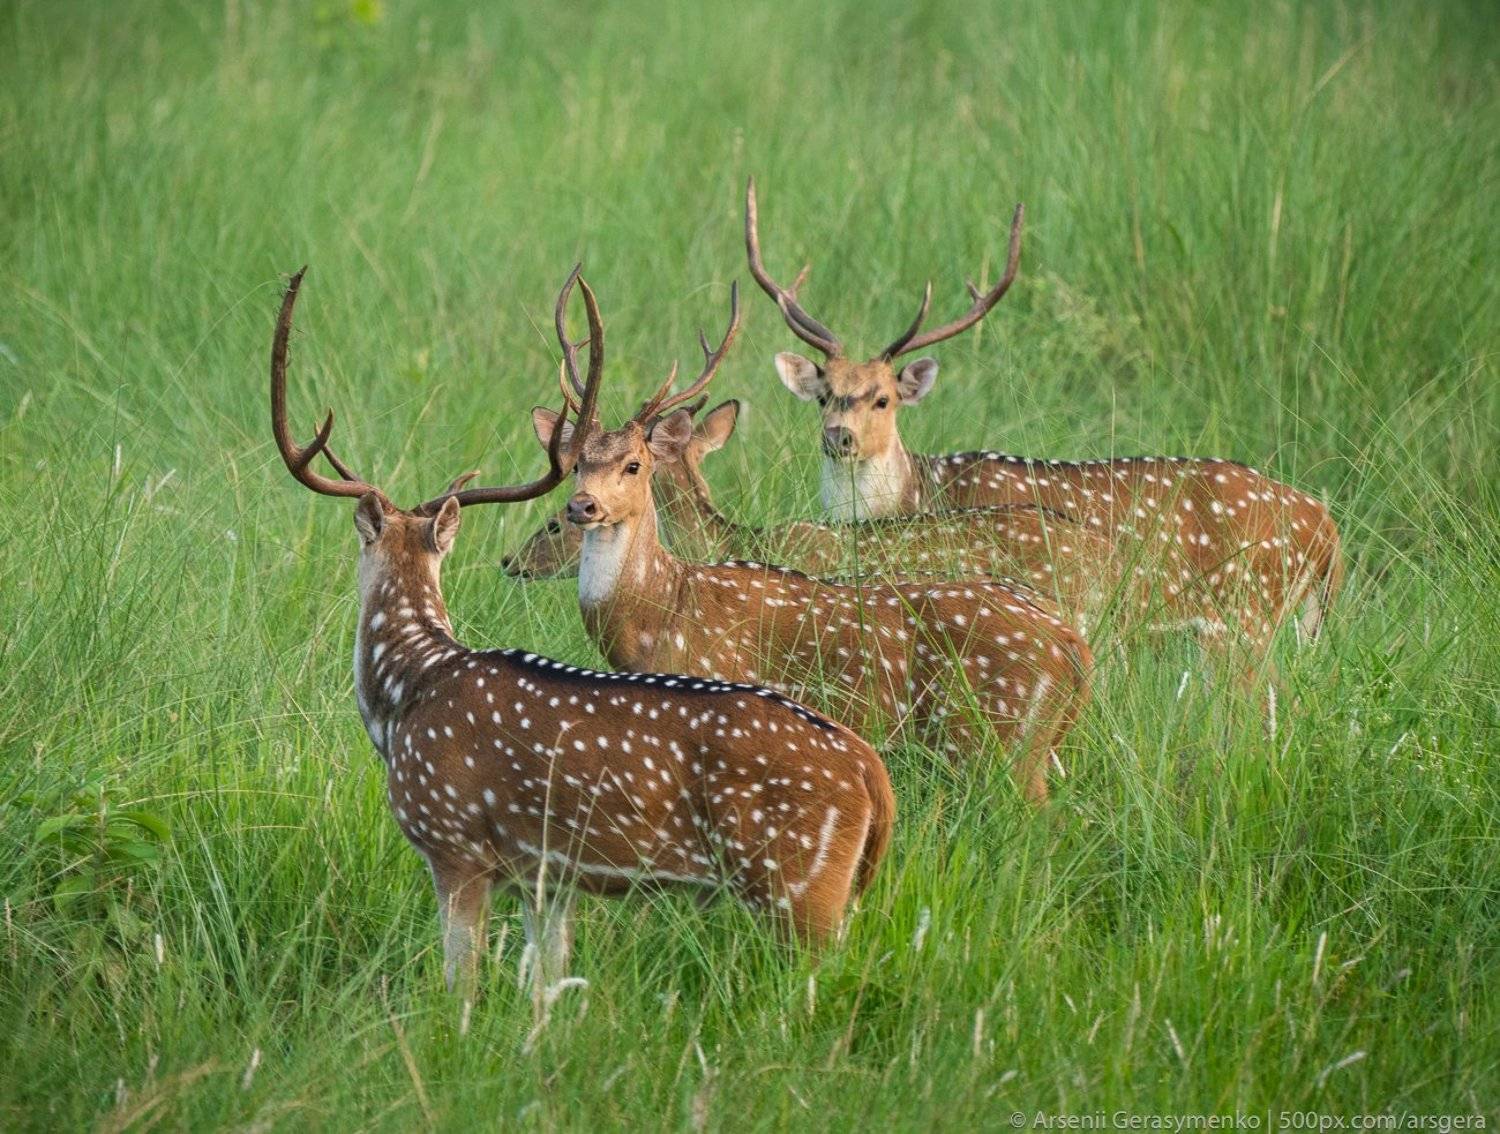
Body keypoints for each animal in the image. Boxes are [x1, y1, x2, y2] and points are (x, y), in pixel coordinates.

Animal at [268, 265, 896, 1001]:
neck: (406, 694)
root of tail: (871, 773)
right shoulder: (548, 879)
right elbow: (545, 984)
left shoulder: (454, 844)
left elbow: (461, 985)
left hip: (802, 887)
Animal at [745, 178, 1345, 675]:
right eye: (823, 393)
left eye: (883, 399)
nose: (838, 436)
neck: (915, 492)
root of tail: (1327, 526)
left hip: (1248, 610)